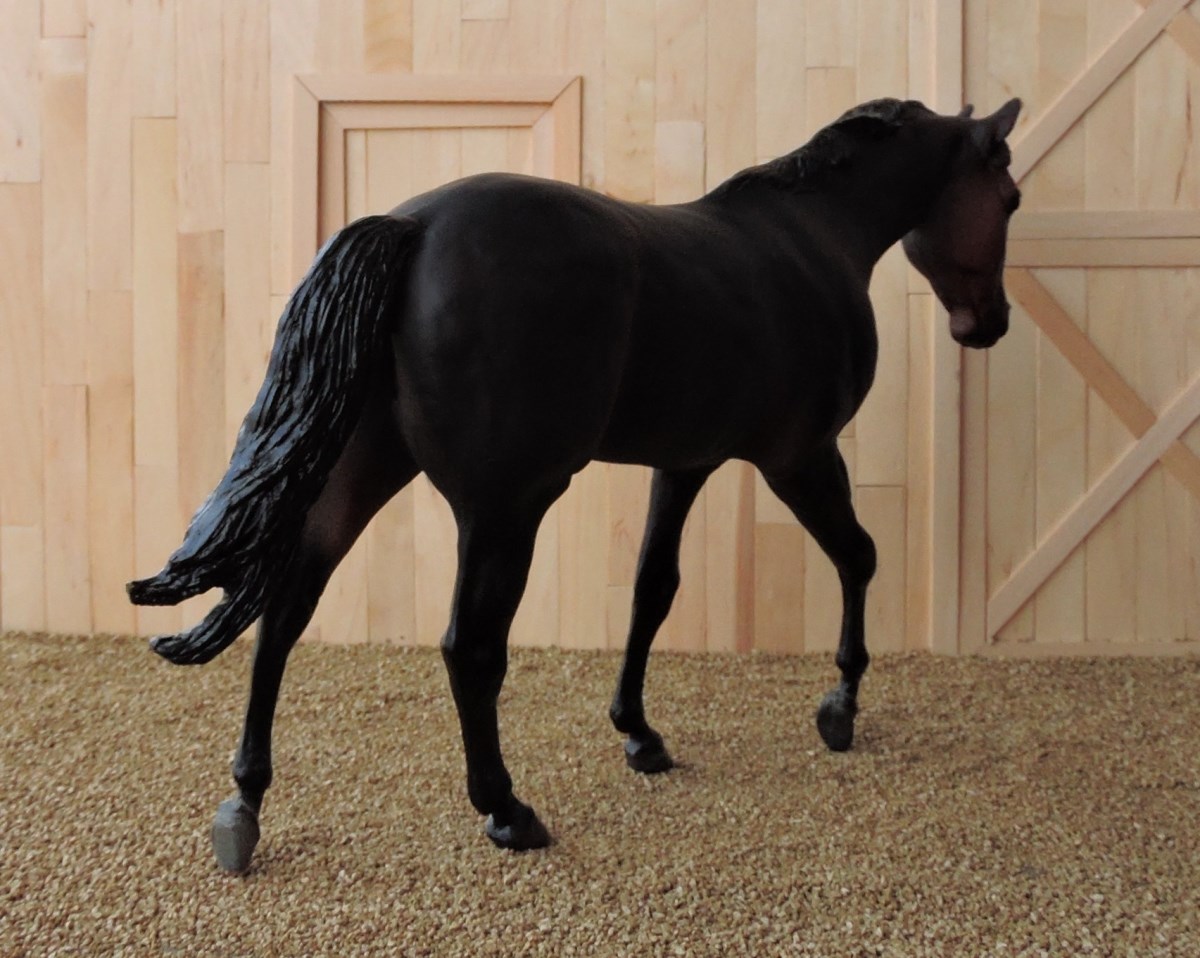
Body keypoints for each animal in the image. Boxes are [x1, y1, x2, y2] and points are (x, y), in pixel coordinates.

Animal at [129, 96, 1023, 873]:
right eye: (1009, 196)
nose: (991, 325)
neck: (811, 239)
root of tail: (416, 228)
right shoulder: (800, 458)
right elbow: (858, 556)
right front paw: (840, 708)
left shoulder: (685, 465)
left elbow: (652, 589)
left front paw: (640, 734)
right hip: (505, 509)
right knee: (469, 647)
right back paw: (506, 809)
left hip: (359, 479)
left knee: (284, 614)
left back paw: (244, 805)